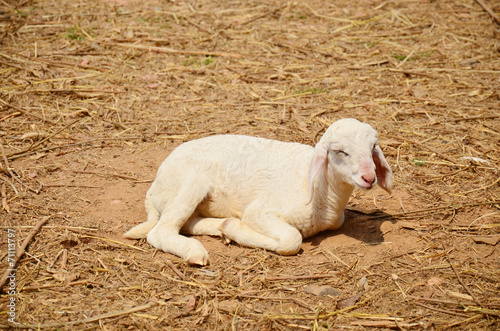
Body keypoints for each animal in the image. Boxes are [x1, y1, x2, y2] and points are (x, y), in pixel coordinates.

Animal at [123, 118, 392, 266]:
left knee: (188, 222)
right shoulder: (260, 211)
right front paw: (236, 228)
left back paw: (220, 228)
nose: (369, 178)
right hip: (190, 180)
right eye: (340, 152)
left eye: (373, 148)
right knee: (161, 231)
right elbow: (291, 239)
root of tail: (153, 187)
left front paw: (229, 228)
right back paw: (196, 251)